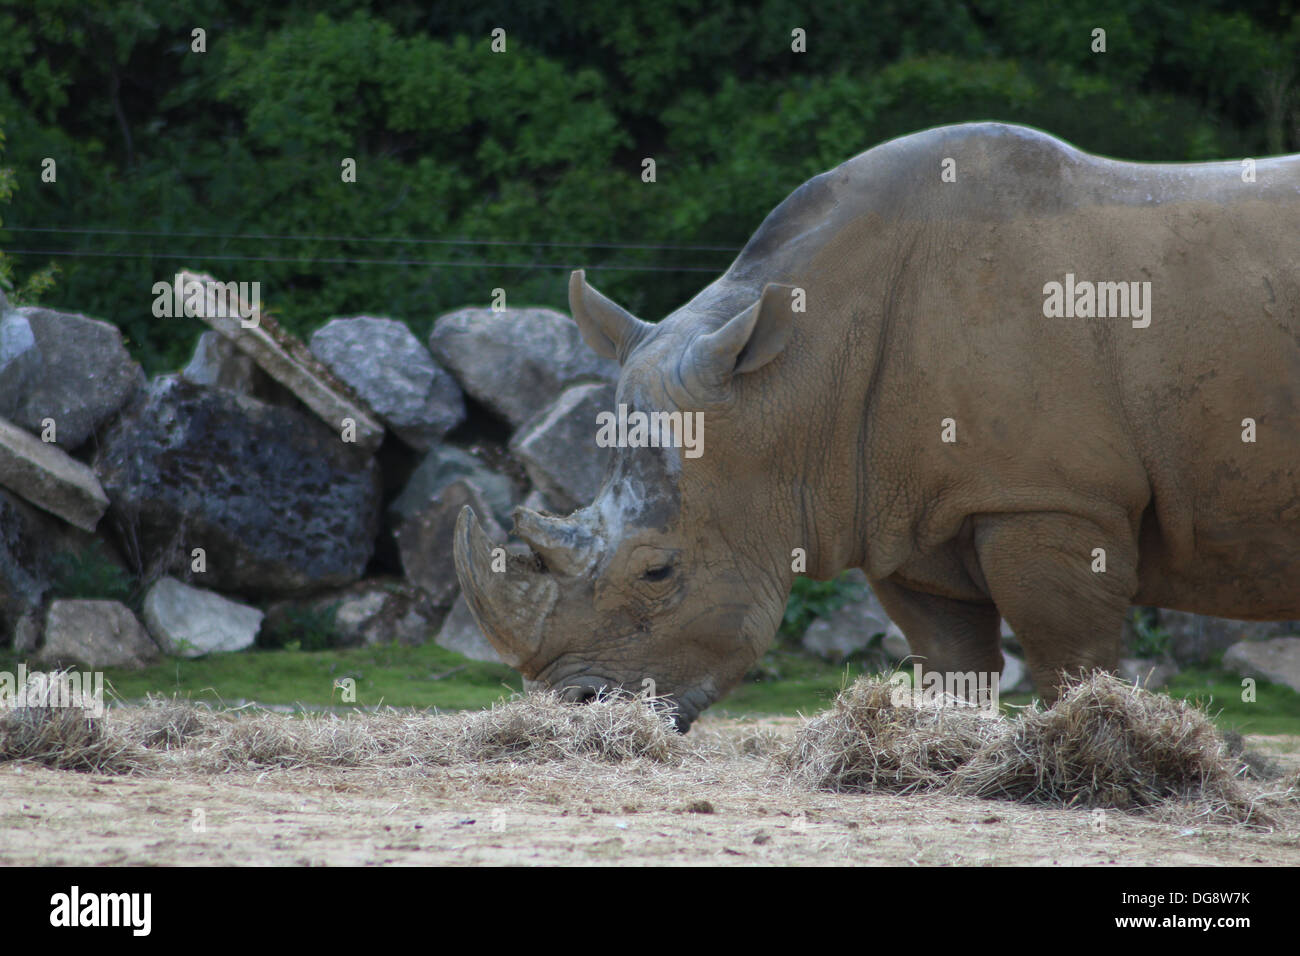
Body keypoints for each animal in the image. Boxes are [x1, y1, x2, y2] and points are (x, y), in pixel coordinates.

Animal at [455, 122, 1300, 730]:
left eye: (658, 573)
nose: (573, 708)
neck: (787, 386)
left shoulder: (1054, 501)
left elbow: (1071, 661)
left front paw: (1095, 749)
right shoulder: (910, 516)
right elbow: (954, 664)